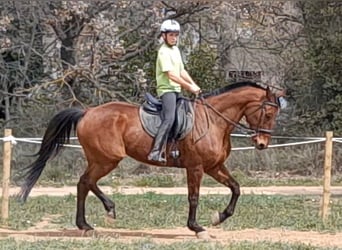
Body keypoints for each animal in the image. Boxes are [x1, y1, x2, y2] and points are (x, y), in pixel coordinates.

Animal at [20, 81, 284, 239]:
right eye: (269, 113)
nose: (262, 143)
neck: (214, 121)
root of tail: (87, 112)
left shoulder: (214, 167)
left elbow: (236, 188)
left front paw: (219, 217)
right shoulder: (196, 167)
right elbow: (194, 197)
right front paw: (197, 228)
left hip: (102, 160)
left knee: (84, 183)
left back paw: (91, 220)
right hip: (107, 159)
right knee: (85, 182)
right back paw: (99, 215)